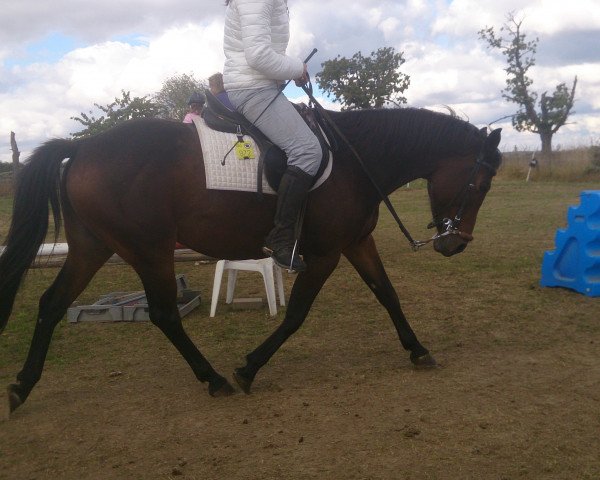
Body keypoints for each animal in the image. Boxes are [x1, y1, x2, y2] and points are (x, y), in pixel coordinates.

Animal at [0, 107, 502, 414]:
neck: (354, 161)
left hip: (93, 247)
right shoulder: (324, 254)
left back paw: (22, 385)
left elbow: (387, 294)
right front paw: (248, 368)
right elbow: (296, 314)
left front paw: (418, 350)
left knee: (51, 304)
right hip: (150, 250)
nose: (456, 244)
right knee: (164, 314)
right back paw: (215, 378)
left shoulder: (357, 243)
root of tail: (83, 147)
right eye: (480, 185)